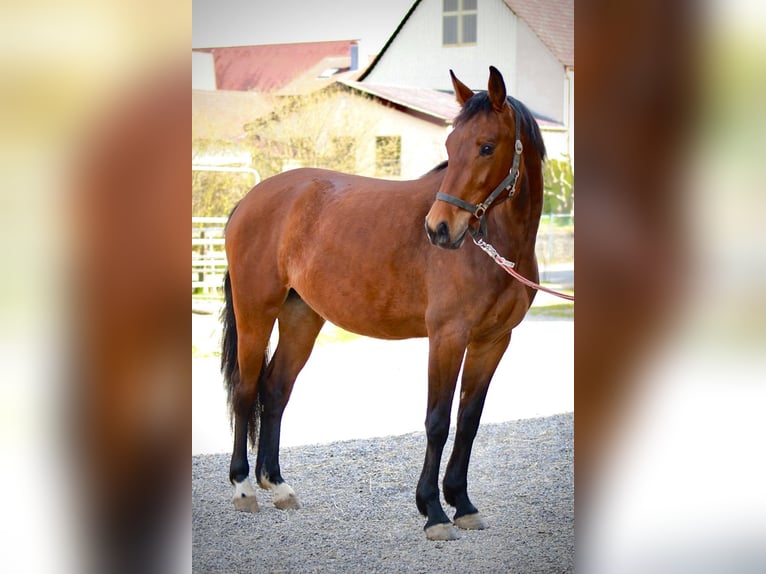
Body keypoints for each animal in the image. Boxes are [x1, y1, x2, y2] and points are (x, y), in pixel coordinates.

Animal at [220, 66, 546, 541]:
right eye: (450, 145)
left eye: (487, 146)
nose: (439, 229)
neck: (496, 246)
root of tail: (248, 200)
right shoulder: (447, 337)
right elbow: (437, 421)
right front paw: (433, 511)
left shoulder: (493, 341)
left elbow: (468, 422)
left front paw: (463, 504)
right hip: (255, 313)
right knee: (246, 391)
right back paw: (244, 487)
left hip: (302, 317)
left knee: (275, 389)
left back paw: (277, 485)